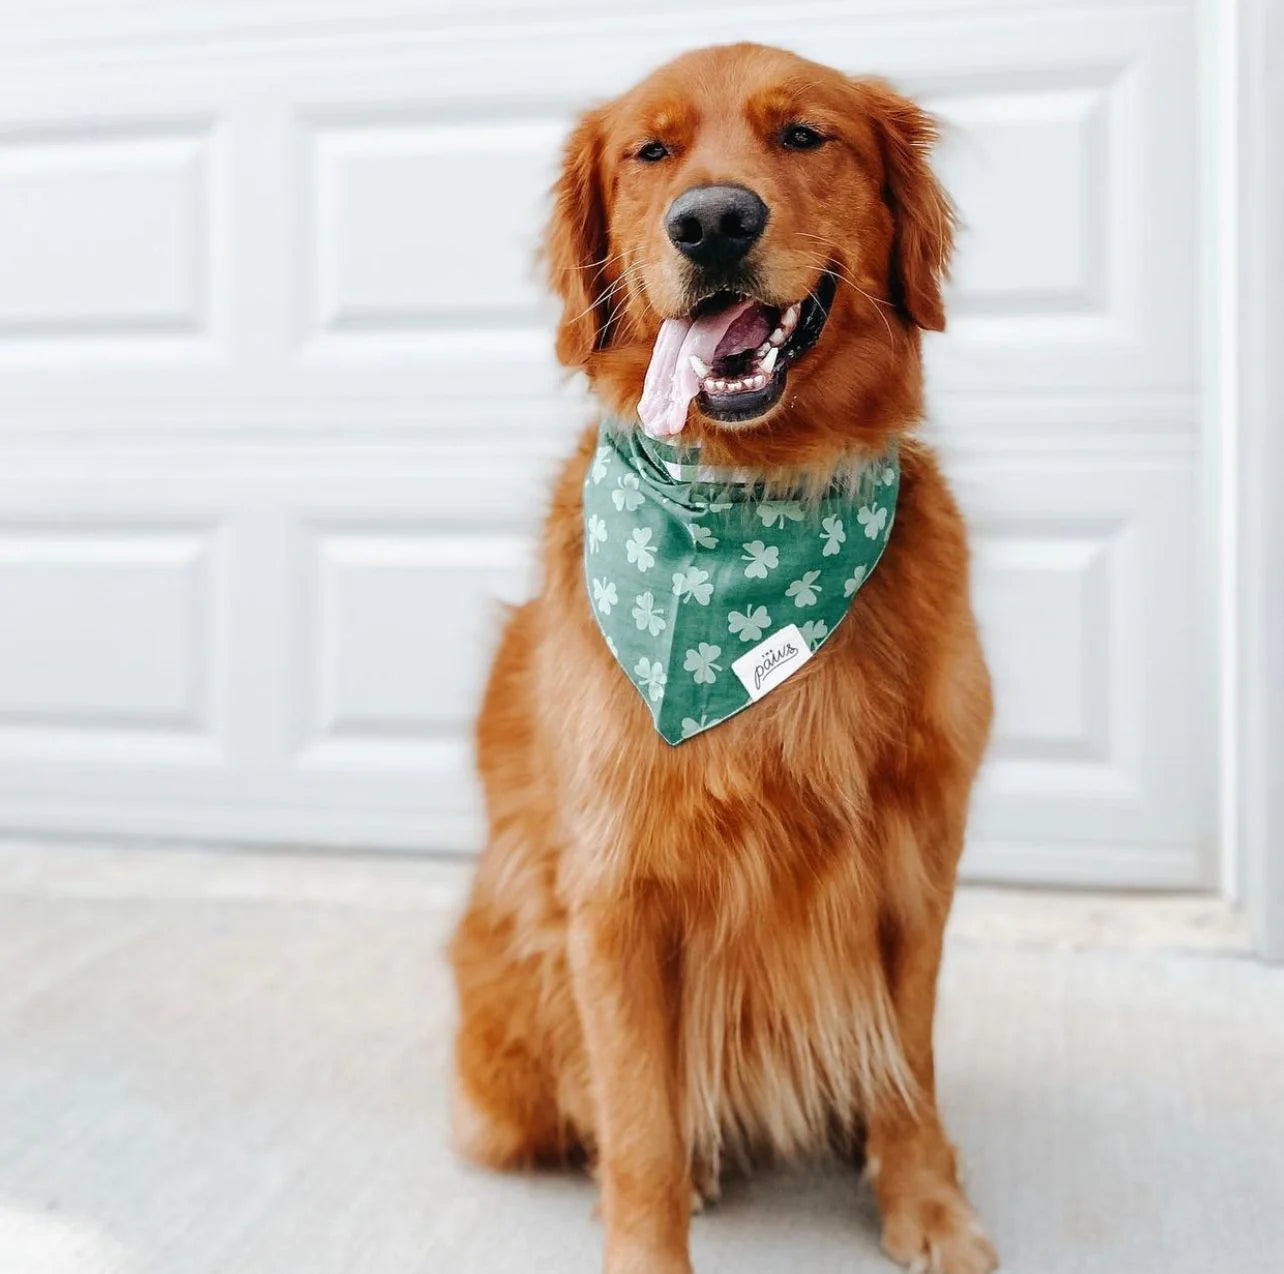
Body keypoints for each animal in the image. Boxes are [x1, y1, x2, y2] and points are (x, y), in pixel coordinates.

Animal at [446, 39, 996, 1274]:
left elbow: (912, 1070)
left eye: (803, 135)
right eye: (650, 152)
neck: (755, 505)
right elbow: (641, 1122)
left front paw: (927, 1205)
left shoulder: (917, 863)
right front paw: (650, 1236)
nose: (710, 222)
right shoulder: (615, 895)